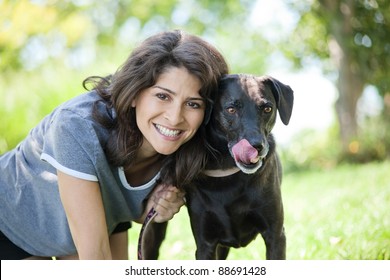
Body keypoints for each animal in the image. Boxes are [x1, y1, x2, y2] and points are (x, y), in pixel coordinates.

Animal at [141, 73, 292, 260]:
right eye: (231, 109)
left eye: (267, 109)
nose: (257, 146)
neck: (228, 172)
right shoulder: (205, 244)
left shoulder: (275, 236)